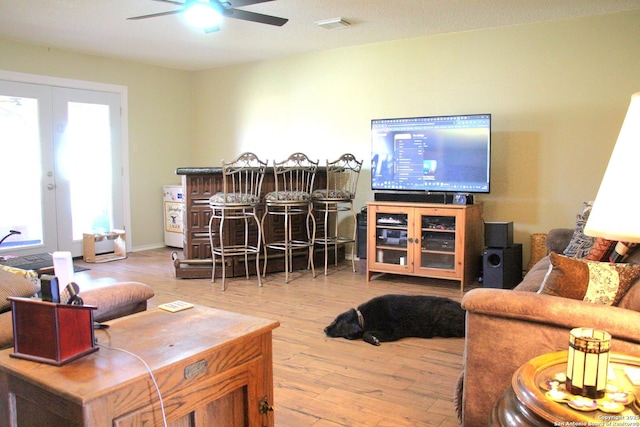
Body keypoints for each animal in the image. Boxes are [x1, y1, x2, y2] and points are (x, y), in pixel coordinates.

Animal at [324, 296, 464, 346]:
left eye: (336, 322)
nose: (324, 329)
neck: (362, 318)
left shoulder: (391, 331)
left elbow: (365, 334)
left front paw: (373, 339)